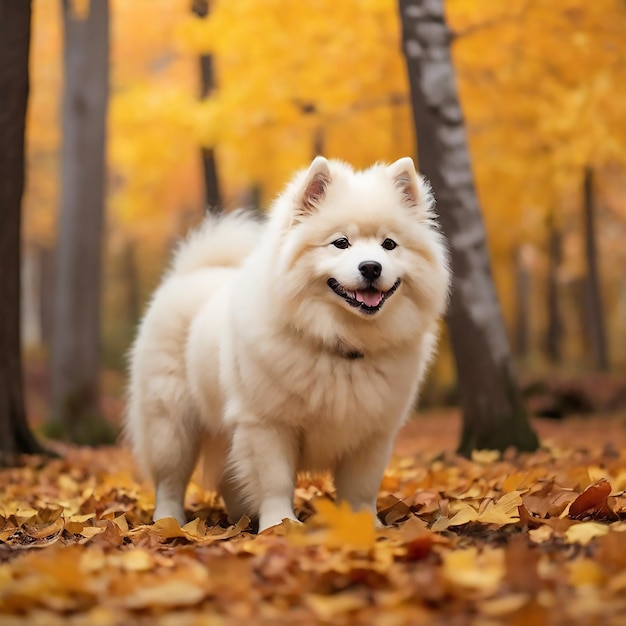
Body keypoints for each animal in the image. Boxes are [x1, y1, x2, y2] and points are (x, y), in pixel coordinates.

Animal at [125, 157, 448, 532]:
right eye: (341, 243)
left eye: (389, 245)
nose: (371, 267)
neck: (341, 344)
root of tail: (191, 273)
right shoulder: (267, 423)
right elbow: (275, 480)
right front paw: (280, 525)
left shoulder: (372, 434)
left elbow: (361, 488)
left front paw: (365, 526)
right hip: (172, 423)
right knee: (170, 479)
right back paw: (168, 521)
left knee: (228, 477)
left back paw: (240, 517)